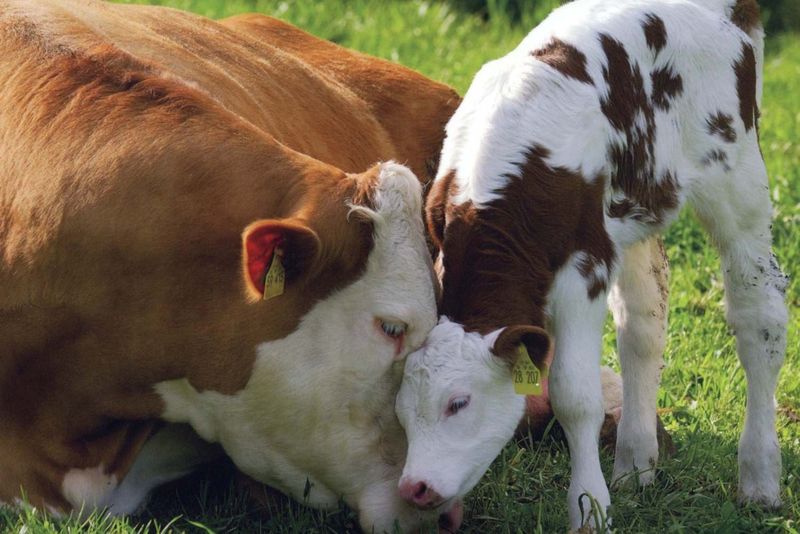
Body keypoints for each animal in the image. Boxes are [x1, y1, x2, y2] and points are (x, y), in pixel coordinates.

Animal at [394, 0, 788, 528]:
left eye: (458, 403)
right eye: (400, 412)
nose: (414, 487)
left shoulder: (583, 268)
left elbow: (574, 397)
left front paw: (589, 508)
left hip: (737, 173)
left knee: (759, 315)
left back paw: (760, 479)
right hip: (637, 206)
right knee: (644, 323)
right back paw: (635, 466)